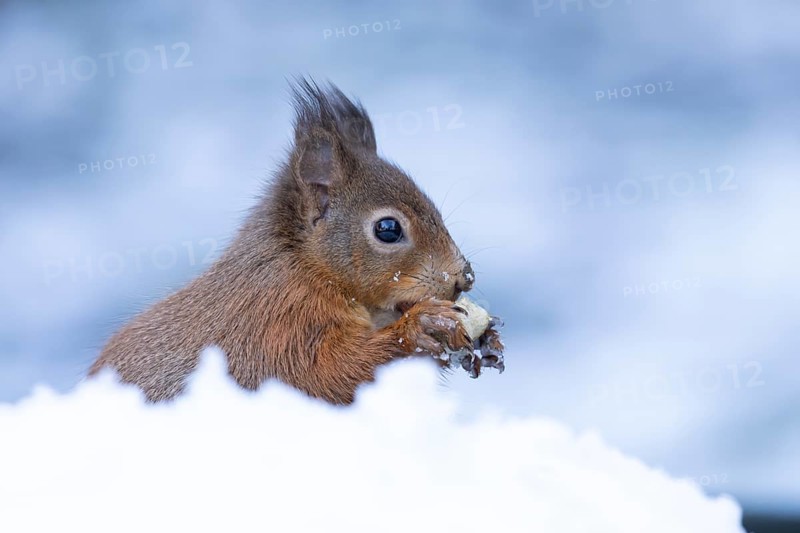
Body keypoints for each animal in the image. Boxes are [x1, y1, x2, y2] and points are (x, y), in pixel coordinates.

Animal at [89, 78, 479, 405]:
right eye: (387, 229)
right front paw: (422, 327)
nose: (464, 278)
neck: (306, 267)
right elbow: (329, 372)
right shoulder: (279, 324)